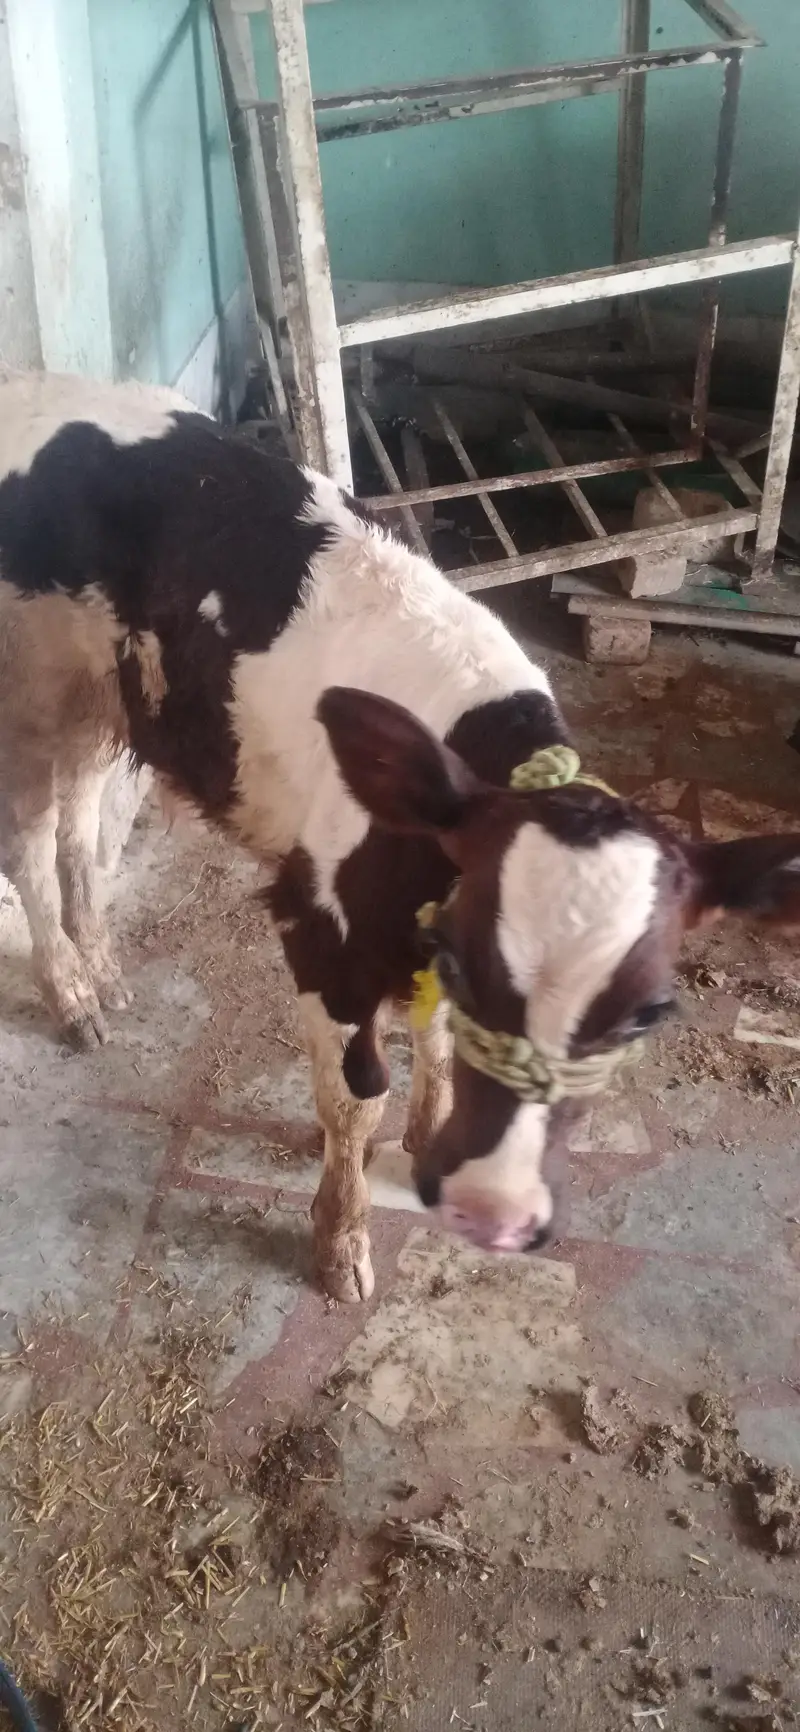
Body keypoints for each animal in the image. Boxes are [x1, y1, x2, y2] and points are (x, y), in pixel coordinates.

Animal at [0, 369, 798, 1304]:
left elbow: (435, 1038)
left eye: (646, 1015)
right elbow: (355, 1100)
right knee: (31, 836)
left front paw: (429, 1125)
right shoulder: (321, 935)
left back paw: (102, 967)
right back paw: (71, 993)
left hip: (106, 693)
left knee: (80, 818)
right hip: (31, 691)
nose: (495, 1213)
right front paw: (341, 1242)